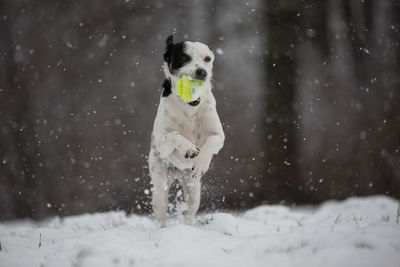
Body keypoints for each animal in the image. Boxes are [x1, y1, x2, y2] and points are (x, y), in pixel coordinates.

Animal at [149, 35, 225, 227]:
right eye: (184, 57)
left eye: (207, 59)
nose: (202, 72)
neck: (190, 107)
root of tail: (178, 171)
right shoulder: (161, 143)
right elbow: (174, 135)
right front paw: (188, 148)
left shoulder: (219, 136)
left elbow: (211, 141)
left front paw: (201, 162)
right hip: (159, 185)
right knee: (161, 214)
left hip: (193, 189)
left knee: (189, 213)